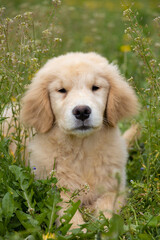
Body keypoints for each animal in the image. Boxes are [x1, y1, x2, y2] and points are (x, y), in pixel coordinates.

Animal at [20, 52, 139, 227]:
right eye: (61, 90)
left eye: (95, 87)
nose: (82, 111)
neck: (82, 150)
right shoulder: (55, 191)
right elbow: (68, 212)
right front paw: (77, 228)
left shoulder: (115, 188)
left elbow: (106, 205)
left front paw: (103, 225)